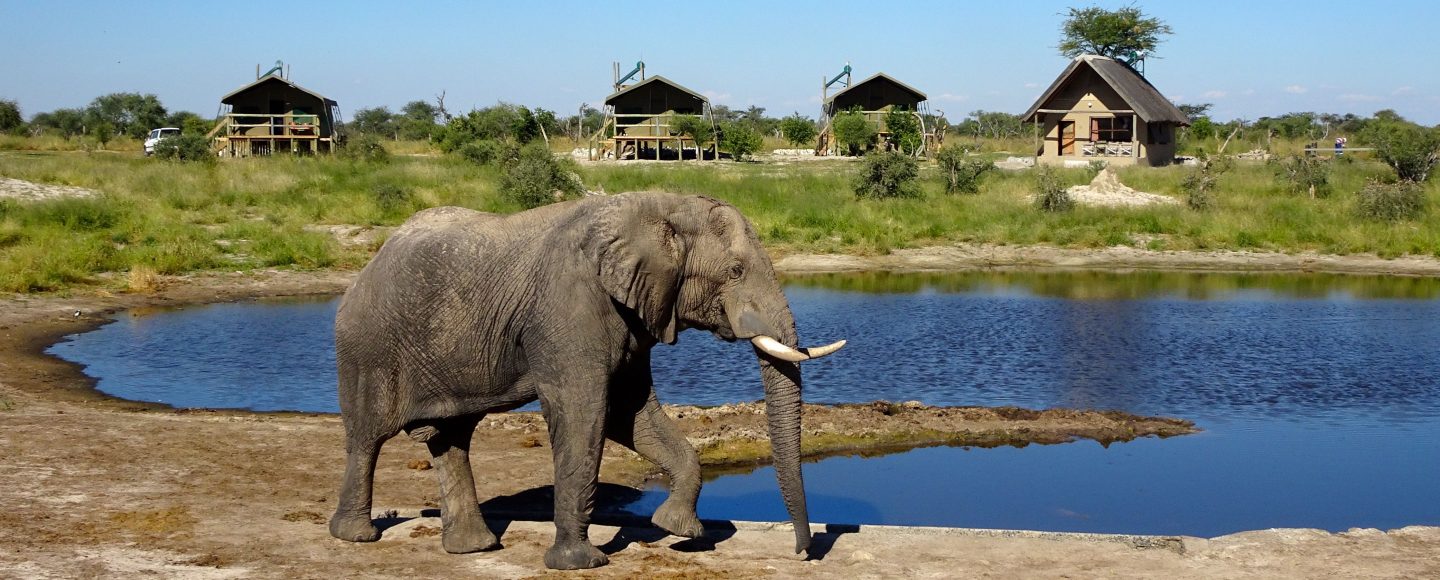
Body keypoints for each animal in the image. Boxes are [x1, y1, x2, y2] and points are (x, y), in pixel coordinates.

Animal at [325, 192, 840, 569]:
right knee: (368, 437)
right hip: (366, 347)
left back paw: (475, 548)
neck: (660, 205)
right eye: (735, 271)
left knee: (452, 439)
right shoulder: (568, 309)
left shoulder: (632, 315)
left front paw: (678, 529)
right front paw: (580, 563)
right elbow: (585, 413)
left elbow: (629, 413)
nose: (802, 552)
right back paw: (355, 536)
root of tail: (367, 266)